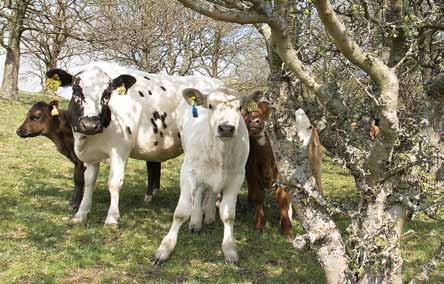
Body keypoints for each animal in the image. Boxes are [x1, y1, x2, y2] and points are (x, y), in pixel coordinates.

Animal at [46, 62, 224, 226]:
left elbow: (114, 183)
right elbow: (89, 181)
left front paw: (112, 218)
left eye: (107, 93)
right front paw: (81, 214)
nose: (90, 124)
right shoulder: (90, 155)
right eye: (76, 90)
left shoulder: (120, 150)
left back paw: (205, 213)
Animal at [154, 87, 253, 266]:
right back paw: (196, 219)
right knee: (199, 191)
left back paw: (208, 214)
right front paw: (165, 248)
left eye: (240, 107)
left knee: (210, 191)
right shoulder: (187, 173)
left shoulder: (237, 177)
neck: (220, 153)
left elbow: (228, 215)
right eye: (210, 105)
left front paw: (229, 249)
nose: (226, 128)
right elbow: (180, 213)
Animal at [241, 98, 294, 236]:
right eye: (246, 119)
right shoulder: (252, 172)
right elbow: (259, 197)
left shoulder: (282, 176)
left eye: (259, 115)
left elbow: (283, 199)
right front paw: (259, 224)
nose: (254, 121)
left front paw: (287, 228)